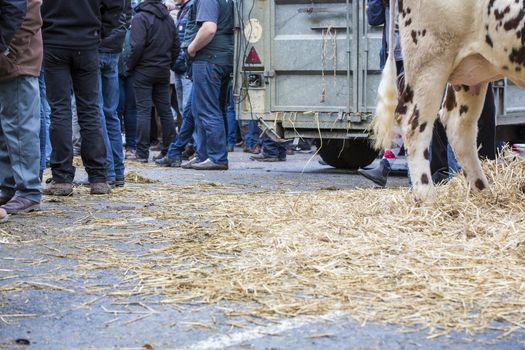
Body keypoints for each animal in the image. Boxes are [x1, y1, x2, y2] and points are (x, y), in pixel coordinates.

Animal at [370, 0, 524, 201]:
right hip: (429, 58)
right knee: (412, 123)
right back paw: (427, 197)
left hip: (471, 71)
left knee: (458, 126)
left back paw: (483, 194)